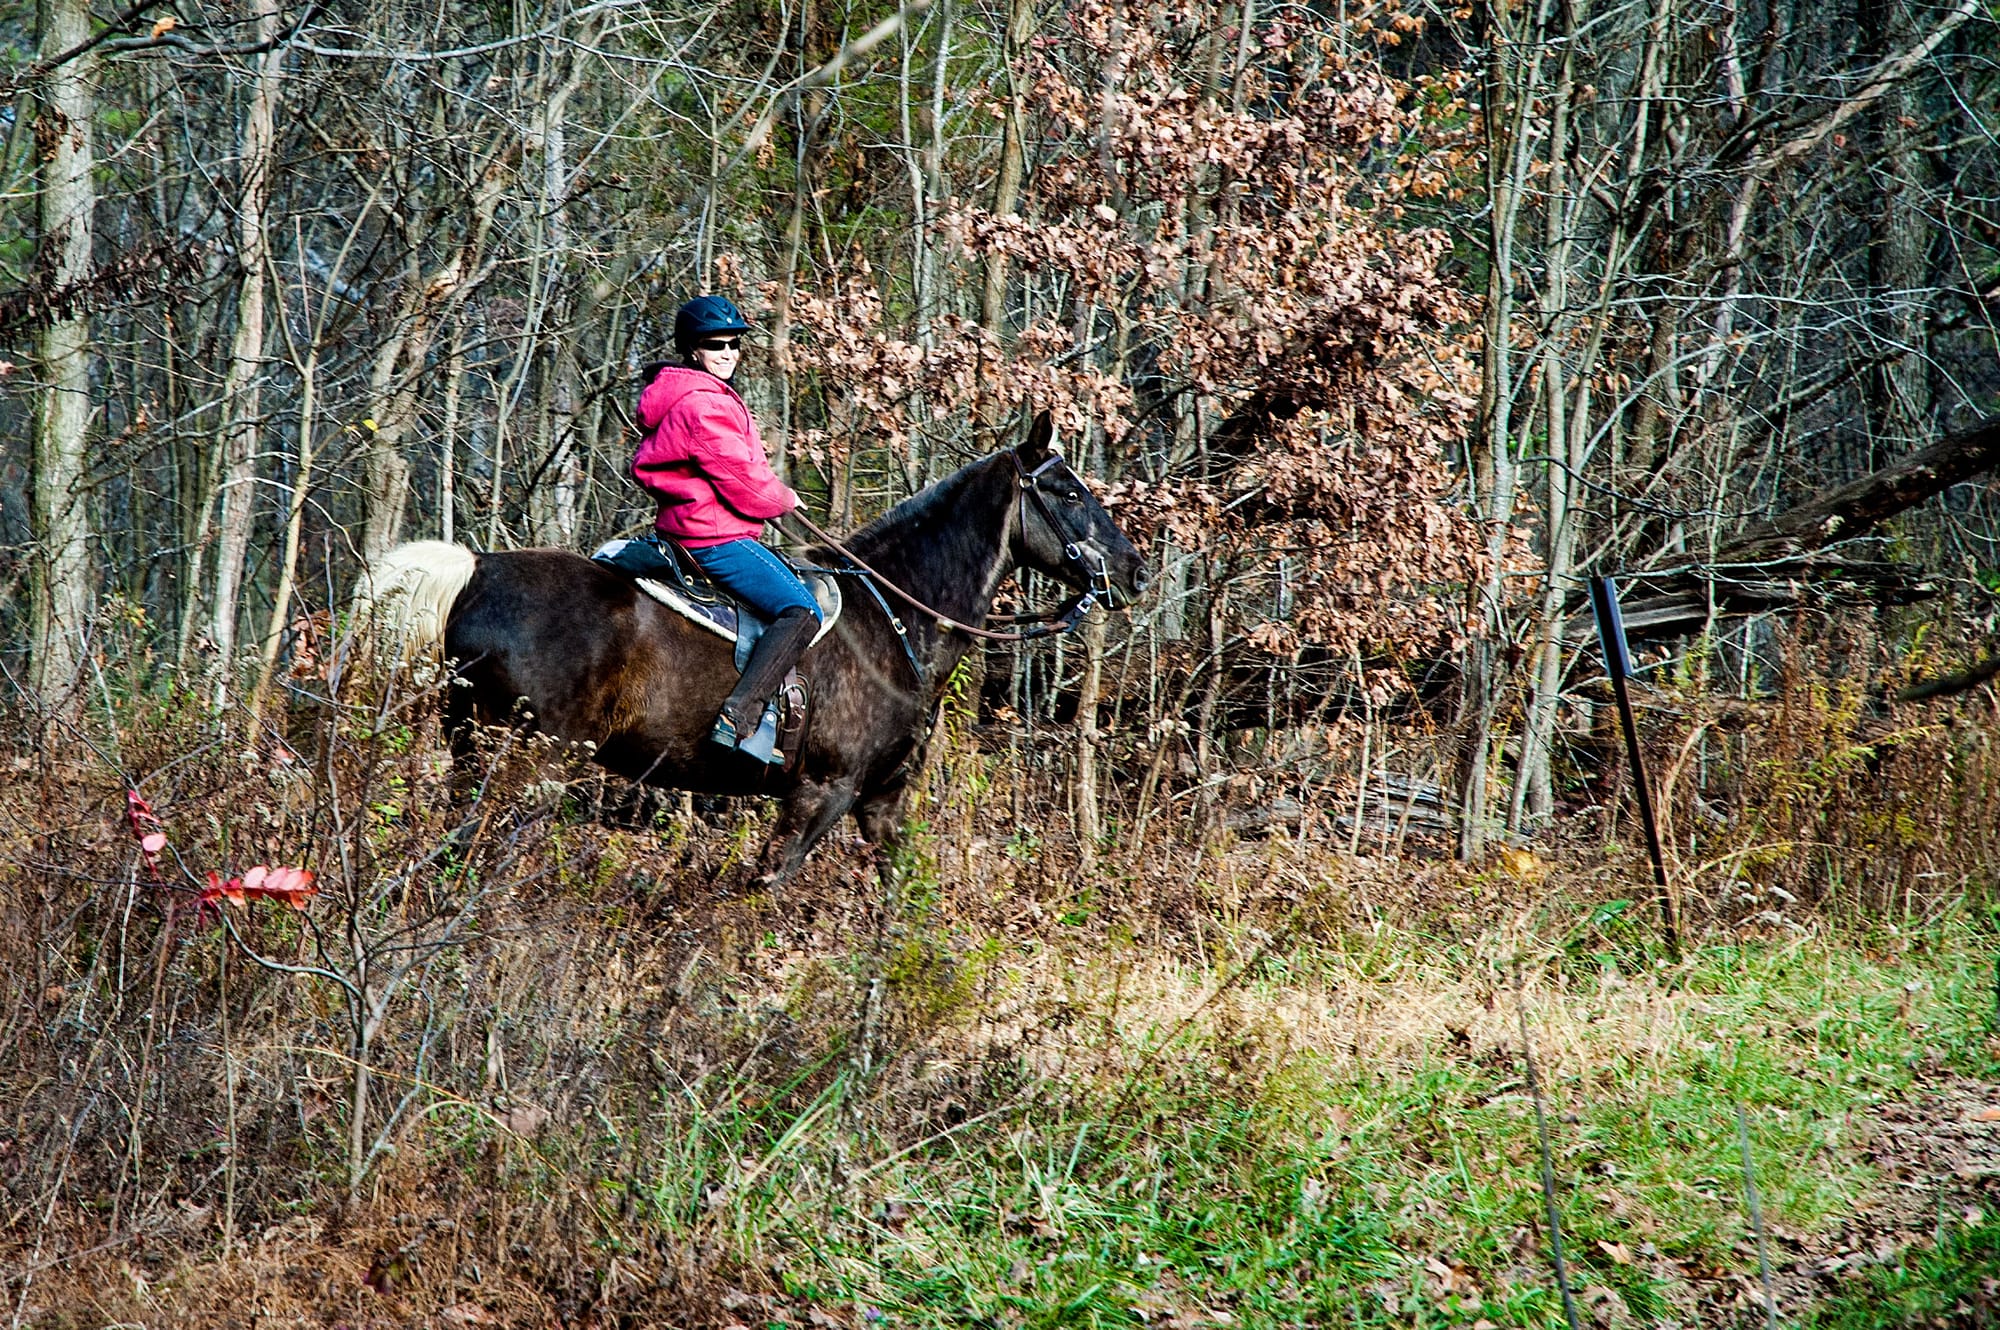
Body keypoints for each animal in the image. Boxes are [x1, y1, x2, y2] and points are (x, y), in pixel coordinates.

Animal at [364, 412, 1149, 884]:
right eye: (1067, 491)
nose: (1135, 569)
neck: (896, 617)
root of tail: (477, 571)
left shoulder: (881, 802)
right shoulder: (820, 793)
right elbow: (759, 892)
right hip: (522, 768)